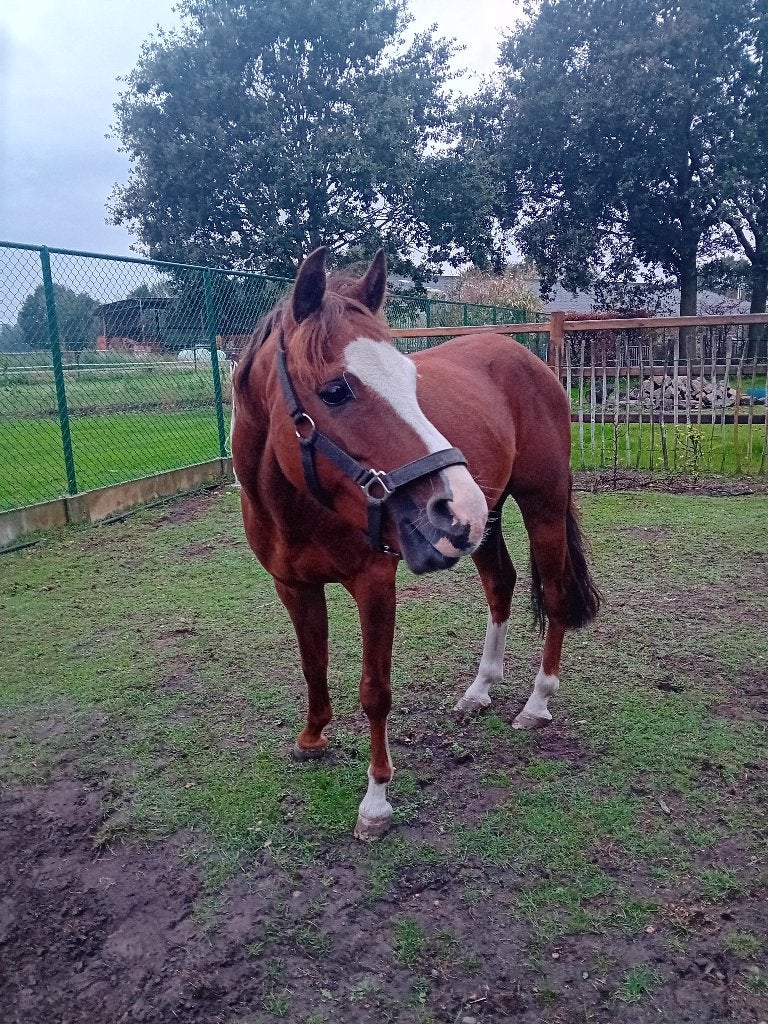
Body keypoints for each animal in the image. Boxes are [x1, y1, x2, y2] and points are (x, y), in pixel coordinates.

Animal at [232, 247, 601, 840]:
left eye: (410, 377)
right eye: (336, 390)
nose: (457, 502)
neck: (298, 505)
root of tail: (525, 356)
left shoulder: (375, 585)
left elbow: (375, 692)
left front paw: (376, 801)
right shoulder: (293, 586)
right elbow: (313, 663)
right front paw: (311, 739)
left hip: (538, 505)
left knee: (555, 593)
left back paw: (537, 702)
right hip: (486, 521)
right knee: (501, 587)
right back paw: (480, 690)